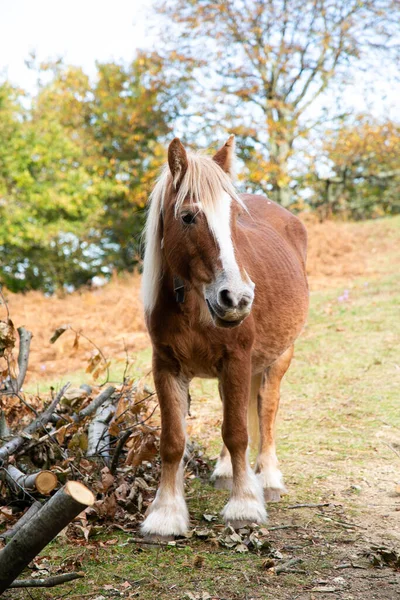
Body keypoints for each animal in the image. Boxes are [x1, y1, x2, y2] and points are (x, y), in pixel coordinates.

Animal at [141, 137, 310, 540]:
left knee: (266, 410)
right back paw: (226, 471)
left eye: (234, 217)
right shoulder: (166, 366)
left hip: (278, 358)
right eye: (188, 216)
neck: (193, 305)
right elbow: (172, 441)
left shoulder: (237, 359)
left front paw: (245, 505)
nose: (237, 298)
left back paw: (268, 478)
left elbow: (237, 432)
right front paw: (165, 515)